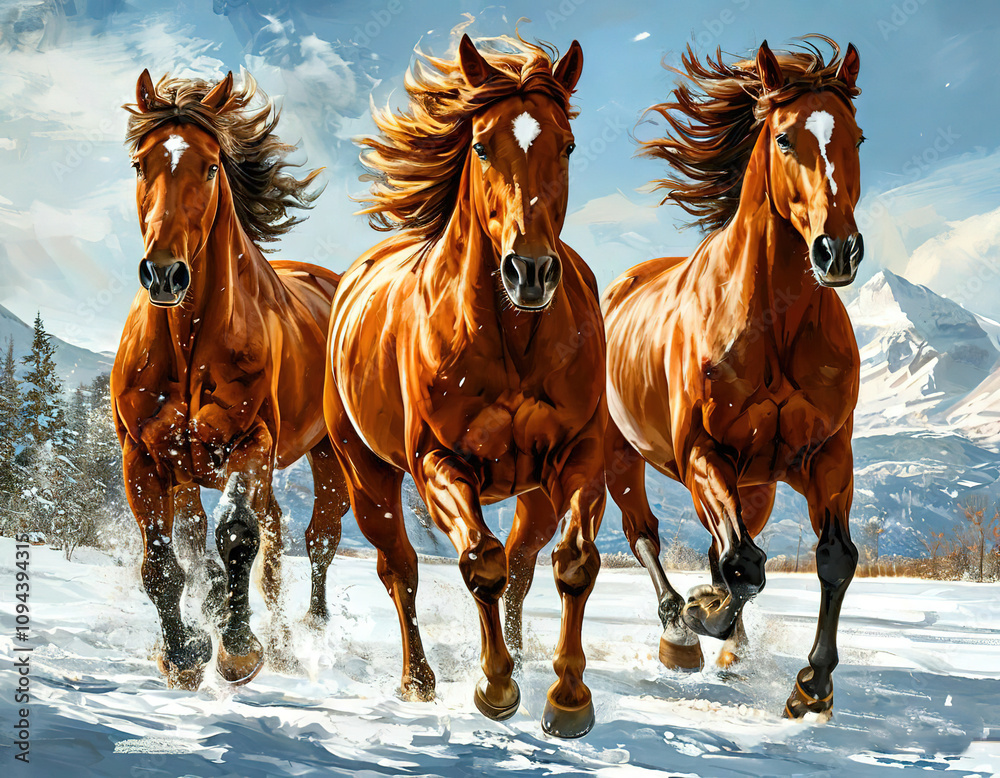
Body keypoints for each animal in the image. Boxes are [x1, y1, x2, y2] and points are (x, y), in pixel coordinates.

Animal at [111, 69, 350, 690]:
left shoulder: (251, 441)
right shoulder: (143, 456)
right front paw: (184, 653)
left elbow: (236, 536)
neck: (188, 343)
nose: (165, 273)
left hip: (327, 457)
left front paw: (239, 650)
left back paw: (301, 637)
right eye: (140, 164)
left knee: (316, 540)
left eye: (211, 166)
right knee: (257, 540)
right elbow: (162, 561)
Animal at [323, 34, 606, 738]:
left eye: (567, 145)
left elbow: (573, 562)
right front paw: (496, 686)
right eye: (480, 145)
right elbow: (480, 560)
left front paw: (567, 697)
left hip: (537, 490)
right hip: (365, 475)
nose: (529, 271)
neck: (513, 340)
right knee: (400, 568)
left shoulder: (580, 454)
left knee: (525, 564)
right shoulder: (439, 461)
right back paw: (418, 680)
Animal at [603, 38, 864, 719]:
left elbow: (834, 559)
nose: (838, 251)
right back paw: (679, 631)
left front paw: (812, 685)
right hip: (623, 459)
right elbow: (743, 563)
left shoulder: (827, 453)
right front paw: (704, 617)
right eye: (785, 139)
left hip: (757, 485)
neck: (773, 326)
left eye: (857, 136)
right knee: (645, 535)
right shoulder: (702, 451)